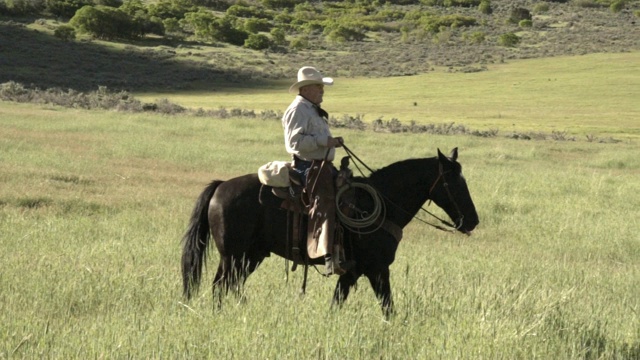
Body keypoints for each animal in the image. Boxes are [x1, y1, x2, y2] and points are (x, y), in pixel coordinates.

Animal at [180, 147, 476, 316]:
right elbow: (388, 306)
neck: (380, 203)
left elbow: (337, 303)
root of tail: (220, 186)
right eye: (453, 182)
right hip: (233, 256)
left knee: (231, 285)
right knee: (221, 285)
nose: (472, 220)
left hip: (250, 256)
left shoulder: (353, 272)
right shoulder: (377, 268)